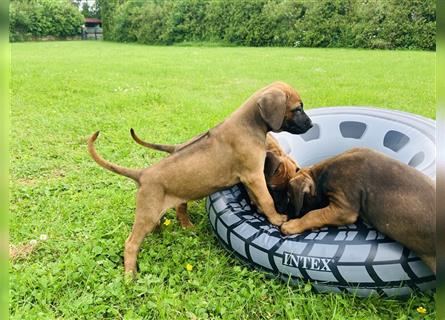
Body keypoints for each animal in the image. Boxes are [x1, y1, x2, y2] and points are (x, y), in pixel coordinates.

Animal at [88, 82, 312, 276]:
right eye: (297, 108)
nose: (311, 125)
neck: (249, 123)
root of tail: (142, 174)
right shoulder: (254, 175)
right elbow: (266, 199)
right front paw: (276, 218)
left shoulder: (250, 178)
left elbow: (258, 199)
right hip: (146, 215)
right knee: (131, 243)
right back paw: (129, 275)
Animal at [280, 148, 434, 272]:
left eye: (289, 197)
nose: (284, 214)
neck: (321, 174)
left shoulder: (343, 208)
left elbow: (314, 214)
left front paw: (292, 225)